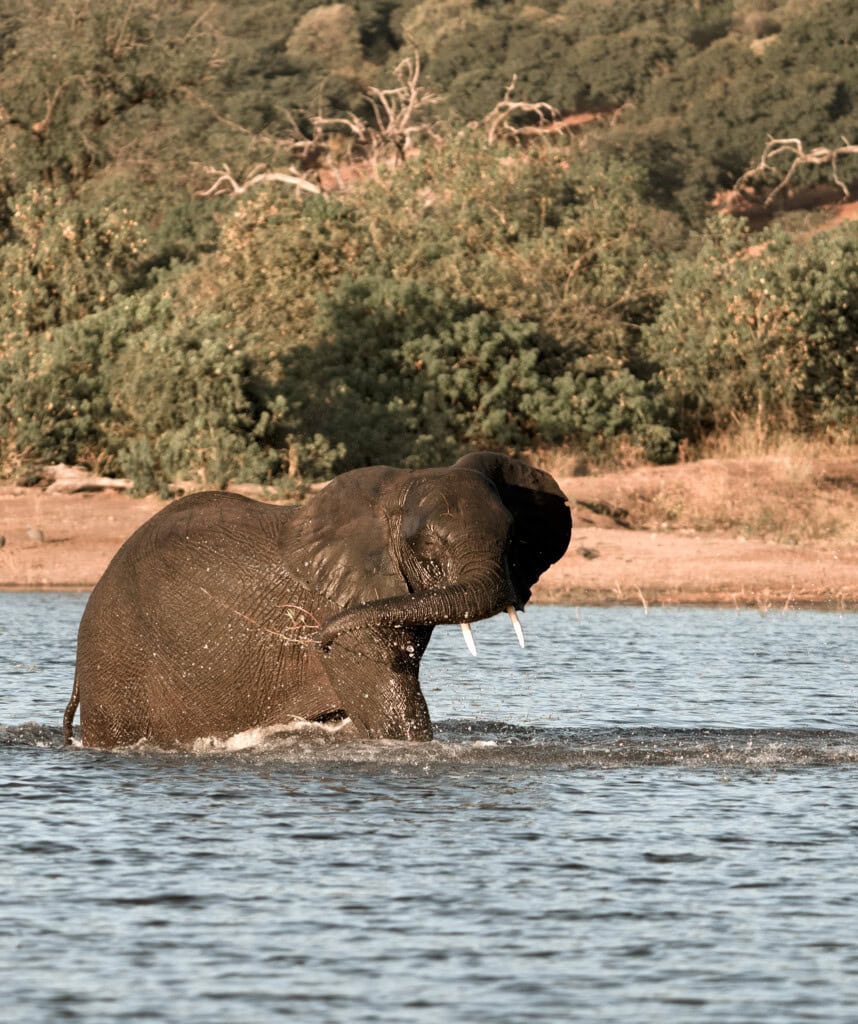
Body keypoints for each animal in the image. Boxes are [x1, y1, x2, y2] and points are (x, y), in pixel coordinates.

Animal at [63, 452, 571, 747]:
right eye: (426, 548)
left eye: (513, 539)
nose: (313, 634)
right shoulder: (345, 603)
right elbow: (393, 713)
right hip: (116, 663)